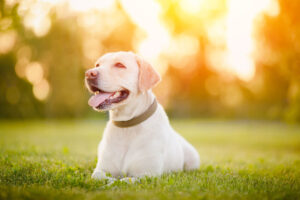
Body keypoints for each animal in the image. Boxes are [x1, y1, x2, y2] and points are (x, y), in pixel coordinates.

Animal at [85, 51, 199, 181]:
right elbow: (102, 177)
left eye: (120, 65)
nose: (89, 73)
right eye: (97, 64)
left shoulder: (147, 174)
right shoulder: (101, 170)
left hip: (193, 158)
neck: (127, 126)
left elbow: (124, 180)